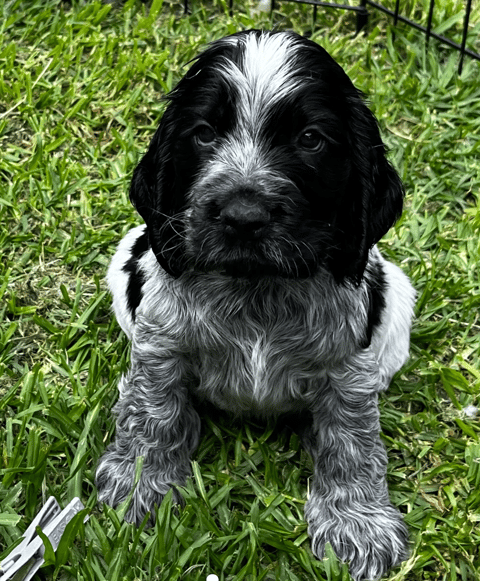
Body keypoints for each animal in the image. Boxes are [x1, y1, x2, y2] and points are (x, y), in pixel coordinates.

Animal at [96, 29, 416, 576]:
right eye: (204, 134)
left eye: (310, 139)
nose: (243, 215)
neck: (256, 287)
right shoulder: (161, 343)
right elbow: (153, 409)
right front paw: (139, 484)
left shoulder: (349, 365)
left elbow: (352, 438)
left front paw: (358, 523)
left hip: (394, 303)